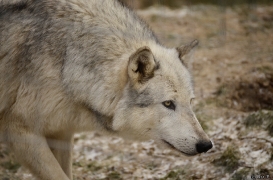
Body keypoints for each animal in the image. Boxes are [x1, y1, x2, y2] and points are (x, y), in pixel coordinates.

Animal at [0, 0, 211, 180]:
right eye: (168, 103)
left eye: (190, 102)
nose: (206, 145)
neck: (66, 63)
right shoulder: (19, 131)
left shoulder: (61, 131)